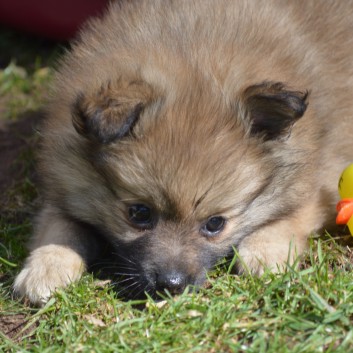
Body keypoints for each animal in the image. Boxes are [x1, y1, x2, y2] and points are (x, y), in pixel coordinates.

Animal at [13, 0, 352, 306]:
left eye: (215, 223)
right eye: (139, 213)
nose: (171, 283)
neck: (193, 45)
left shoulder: (323, 173)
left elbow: (298, 210)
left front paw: (263, 251)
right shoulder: (64, 181)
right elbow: (60, 224)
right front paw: (48, 265)